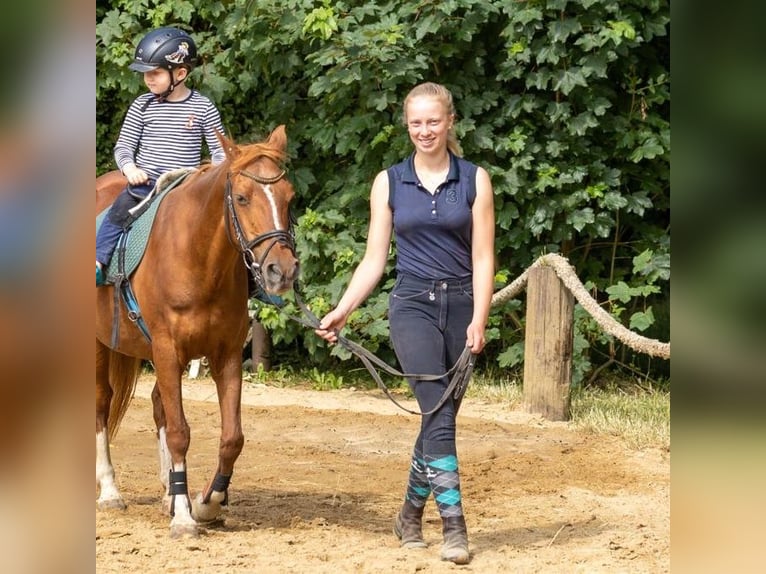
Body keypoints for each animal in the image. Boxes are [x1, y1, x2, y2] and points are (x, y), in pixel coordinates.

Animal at [96, 125, 300, 540]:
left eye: (289, 198)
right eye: (241, 197)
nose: (282, 270)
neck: (199, 259)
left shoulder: (226, 356)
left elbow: (232, 437)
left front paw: (206, 503)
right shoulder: (167, 350)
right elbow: (179, 432)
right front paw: (184, 517)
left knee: (157, 405)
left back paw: (168, 492)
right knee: (102, 403)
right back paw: (110, 491)